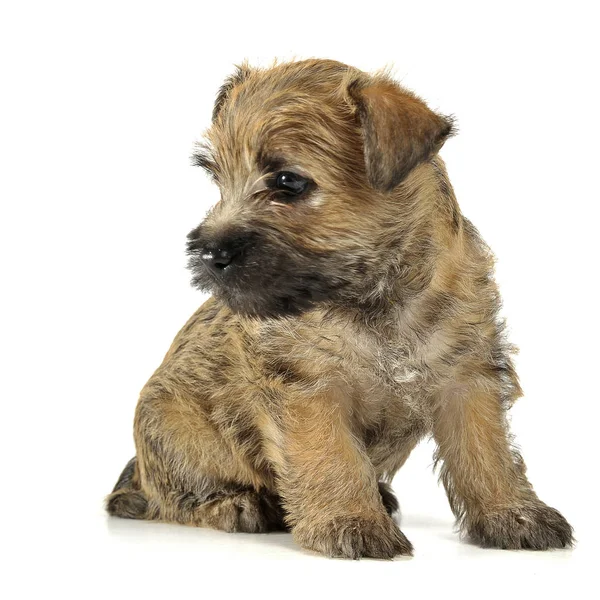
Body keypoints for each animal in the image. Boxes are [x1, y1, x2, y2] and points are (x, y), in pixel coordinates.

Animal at [106, 57, 572, 556]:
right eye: (217, 178)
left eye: (288, 182)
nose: (210, 253)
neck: (377, 296)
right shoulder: (308, 386)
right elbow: (330, 454)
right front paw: (351, 521)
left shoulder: (467, 376)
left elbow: (487, 451)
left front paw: (513, 513)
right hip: (172, 427)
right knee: (175, 497)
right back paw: (237, 504)